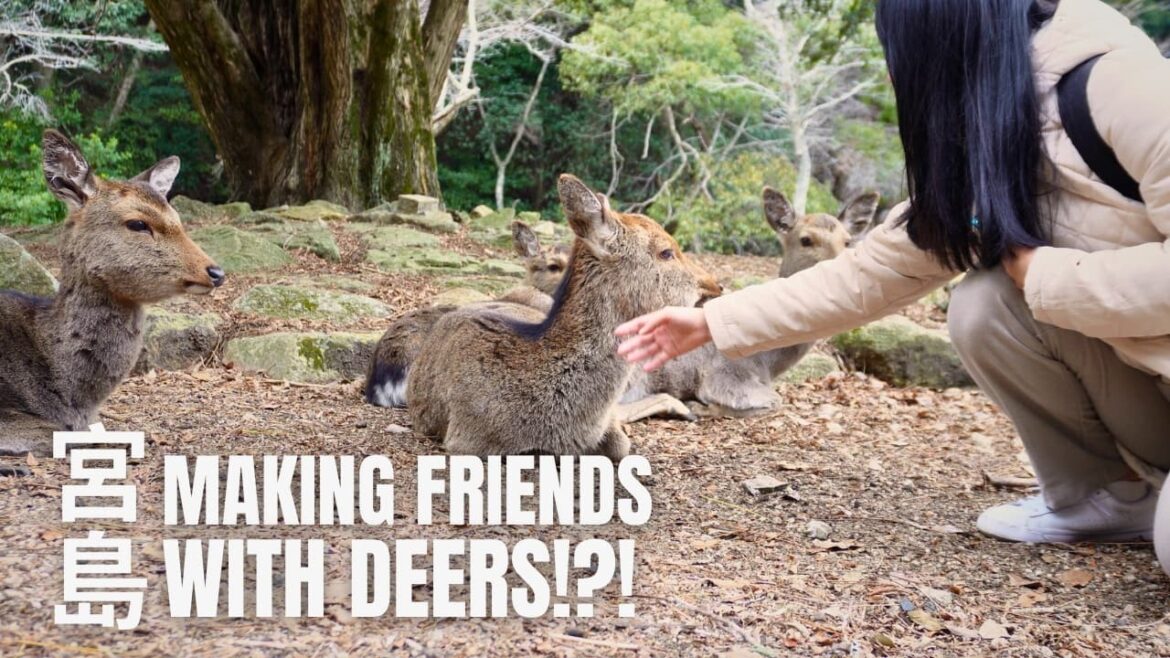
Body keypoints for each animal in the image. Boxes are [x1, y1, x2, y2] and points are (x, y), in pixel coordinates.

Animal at [617, 187, 879, 422]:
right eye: (806, 239)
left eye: (848, 241)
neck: (768, 365)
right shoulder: (725, 376)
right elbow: (774, 401)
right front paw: (699, 407)